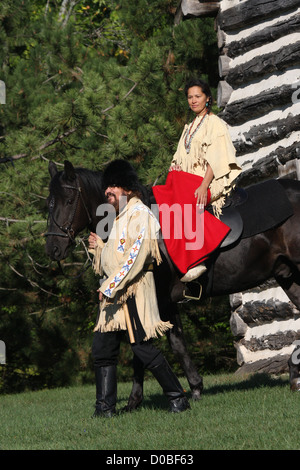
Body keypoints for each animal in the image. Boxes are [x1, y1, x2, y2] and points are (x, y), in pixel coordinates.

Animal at [45, 159, 300, 408]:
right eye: (49, 203)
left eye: (69, 201)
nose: (53, 248)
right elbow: (164, 344)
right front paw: (187, 389)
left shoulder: (161, 300)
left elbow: (160, 345)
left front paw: (149, 397)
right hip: (286, 274)